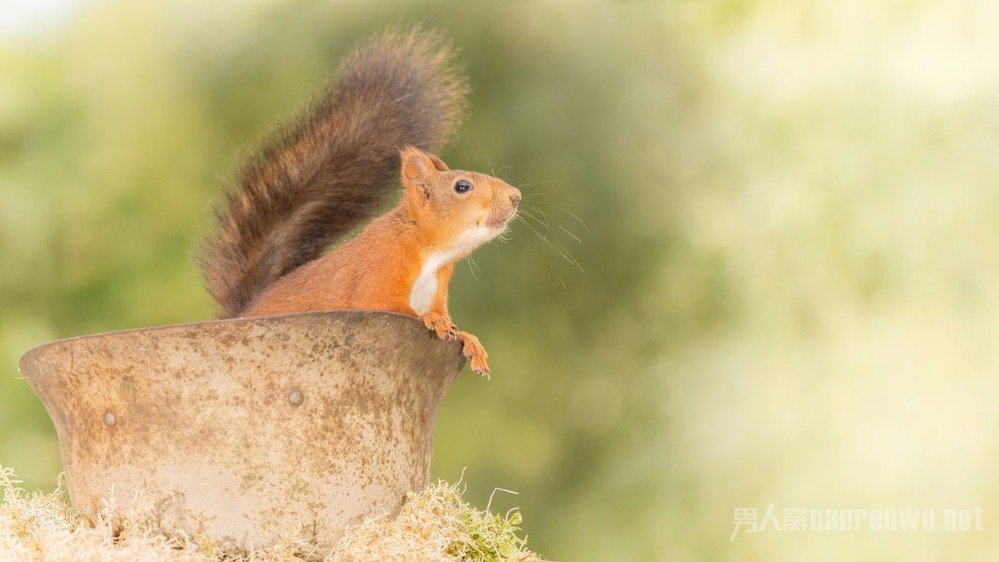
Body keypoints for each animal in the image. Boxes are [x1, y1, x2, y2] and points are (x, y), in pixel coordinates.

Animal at [197, 28, 524, 374]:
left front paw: (468, 338)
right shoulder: (379, 270)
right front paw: (431, 320)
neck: (433, 253)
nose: (515, 196)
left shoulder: (437, 290)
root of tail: (240, 315)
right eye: (462, 186)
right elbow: (390, 307)